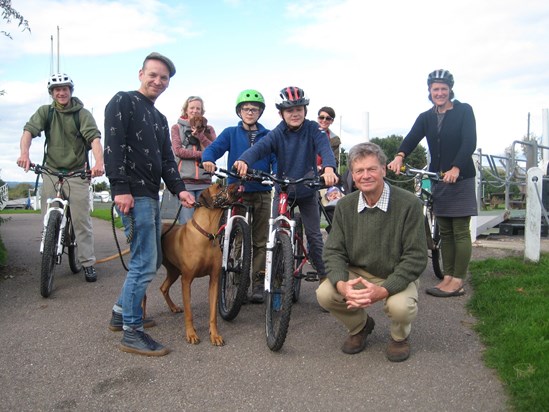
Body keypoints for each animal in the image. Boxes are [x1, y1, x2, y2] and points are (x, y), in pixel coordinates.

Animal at [157, 182, 237, 346]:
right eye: (219, 186)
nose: (237, 185)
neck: (207, 234)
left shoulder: (214, 280)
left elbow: (213, 314)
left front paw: (214, 335)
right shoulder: (186, 280)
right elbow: (189, 313)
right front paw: (191, 334)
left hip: (174, 271)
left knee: (163, 287)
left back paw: (173, 307)